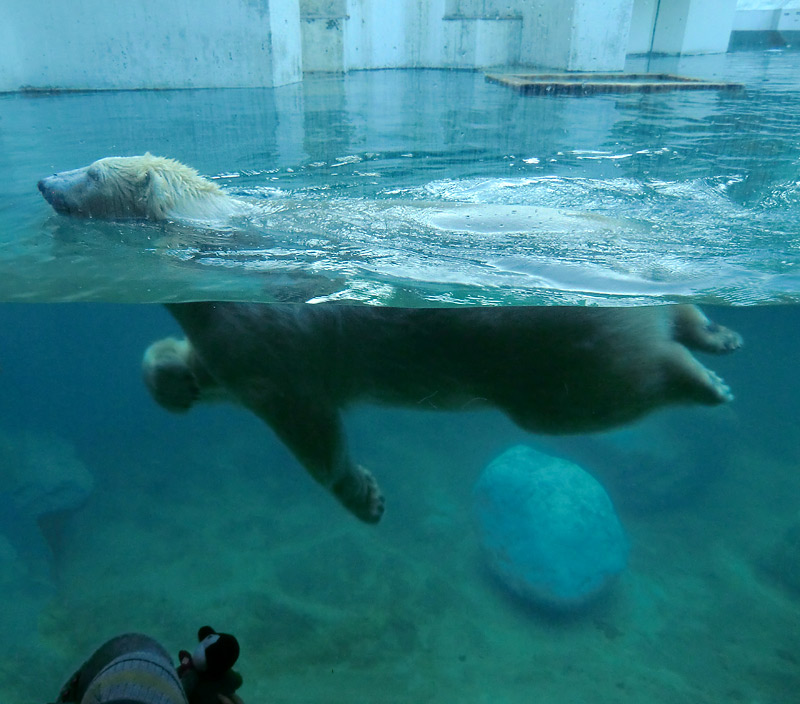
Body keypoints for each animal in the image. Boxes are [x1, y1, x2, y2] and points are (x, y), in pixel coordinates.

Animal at [144, 302, 744, 524]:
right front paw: (173, 378)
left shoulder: (265, 345)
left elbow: (308, 424)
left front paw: (365, 495)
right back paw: (715, 334)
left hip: (547, 351)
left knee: (608, 387)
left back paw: (703, 381)